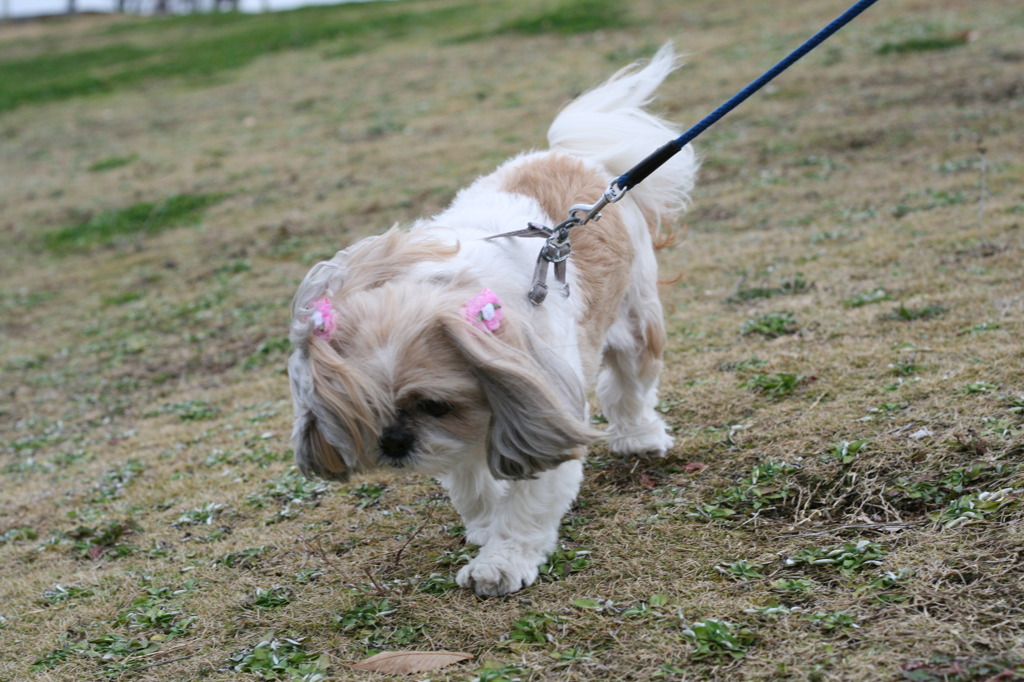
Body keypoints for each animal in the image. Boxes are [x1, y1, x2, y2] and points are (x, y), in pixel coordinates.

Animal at [290, 45, 704, 593]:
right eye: (366, 407)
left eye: (433, 405)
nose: (394, 442)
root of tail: (569, 155)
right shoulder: (471, 424)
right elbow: (472, 484)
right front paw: (486, 528)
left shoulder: (539, 403)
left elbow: (530, 500)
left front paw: (501, 562)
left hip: (635, 315)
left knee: (630, 382)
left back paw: (640, 437)